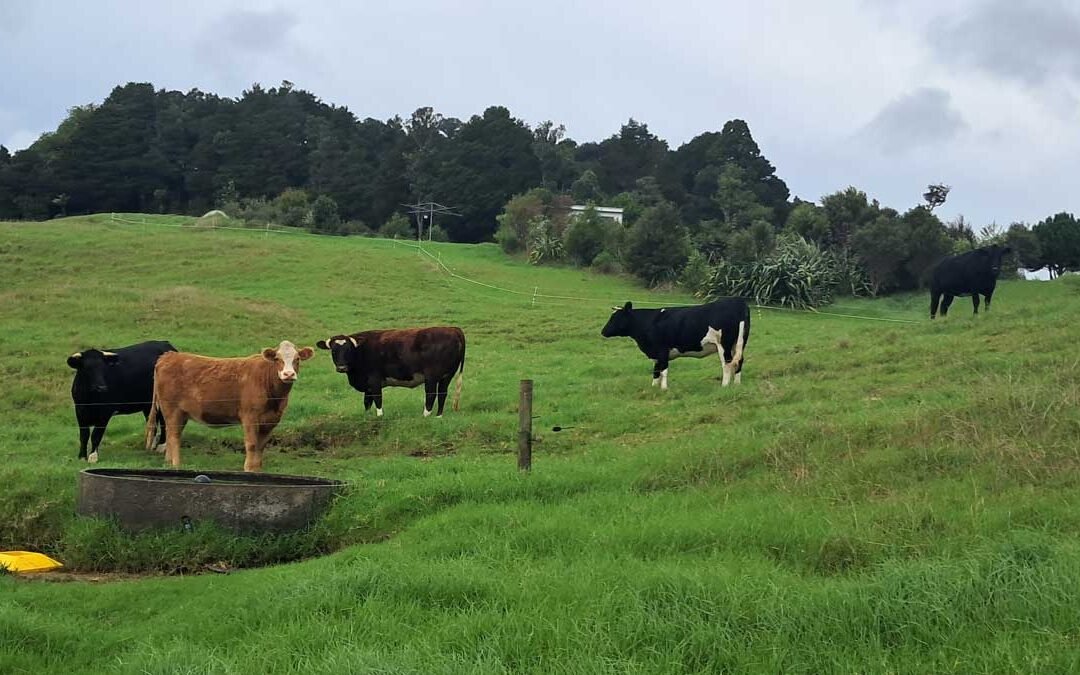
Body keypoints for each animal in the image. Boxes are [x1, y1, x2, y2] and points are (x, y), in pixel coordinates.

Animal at [144, 340, 314, 472]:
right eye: (278, 359)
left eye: (297, 359)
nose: (288, 374)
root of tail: (168, 356)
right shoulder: (250, 417)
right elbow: (252, 444)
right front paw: (249, 469)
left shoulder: (271, 421)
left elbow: (261, 446)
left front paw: (257, 470)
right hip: (172, 410)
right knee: (174, 436)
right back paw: (176, 465)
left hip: (179, 414)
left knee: (171, 435)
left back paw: (168, 463)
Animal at [316, 327, 465, 418]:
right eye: (333, 351)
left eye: (348, 349)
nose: (342, 367)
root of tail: (452, 329)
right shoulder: (367, 386)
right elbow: (367, 402)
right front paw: (366, 416)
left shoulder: (374, 380)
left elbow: (378, 399)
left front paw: (379, 416)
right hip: (447, 376)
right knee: (442, 393)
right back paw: (438, 416)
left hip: (431, 377)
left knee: (431, 395)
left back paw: (425, 415)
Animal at [600, 299, 750, 390]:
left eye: (615, 317)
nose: (603, 331)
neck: (648, 322)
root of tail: (737, 301)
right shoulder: (656, 354)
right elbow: (656, 371)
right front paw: (654, 387)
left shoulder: (662, 350)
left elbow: (664, 370)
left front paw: (664, 388)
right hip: (739, 344)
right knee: (739, 361)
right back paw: (736, 384)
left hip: (724, 345)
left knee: (727, 363)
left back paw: (724, 386)